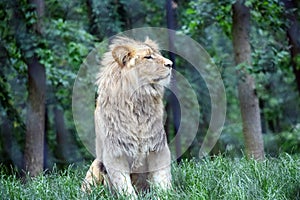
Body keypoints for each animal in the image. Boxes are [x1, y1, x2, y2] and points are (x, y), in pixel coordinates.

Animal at [81, 36, 172, 197]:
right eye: (148, 57)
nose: (171, 64)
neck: (138, 102)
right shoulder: (116, 152)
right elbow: (123, 184)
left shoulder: (158, 146)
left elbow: (162, 178)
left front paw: (167, 195)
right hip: (96, 165)